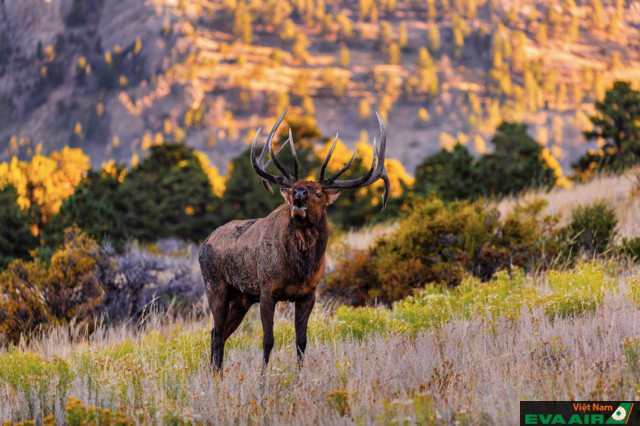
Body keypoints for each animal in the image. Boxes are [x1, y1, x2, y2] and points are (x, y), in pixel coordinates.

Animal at [200, 110, 390, 372]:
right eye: (293, 189)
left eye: (319, 193)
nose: (299, 193)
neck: (300, 268)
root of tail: (204, 242)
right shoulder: (267, 290)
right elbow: (268, 340)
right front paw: (262, 377)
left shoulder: (308, 293)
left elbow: (301, 341)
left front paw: (300, 376)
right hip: (216, 285)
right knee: (217, 334)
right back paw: (216, 375)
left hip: (241, 297)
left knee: (216, 333)